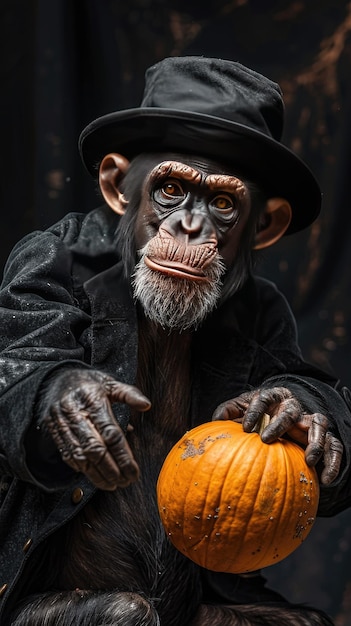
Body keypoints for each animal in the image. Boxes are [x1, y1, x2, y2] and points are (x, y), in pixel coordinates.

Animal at [0, 56, 351, 620]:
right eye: (171, 190)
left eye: (224, 201)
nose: (189, 225)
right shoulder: (35, 261)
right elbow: (29, 351)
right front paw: (74, 404)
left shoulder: (274, 309)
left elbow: (305, 374)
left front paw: (293, 410)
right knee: (124, 610)